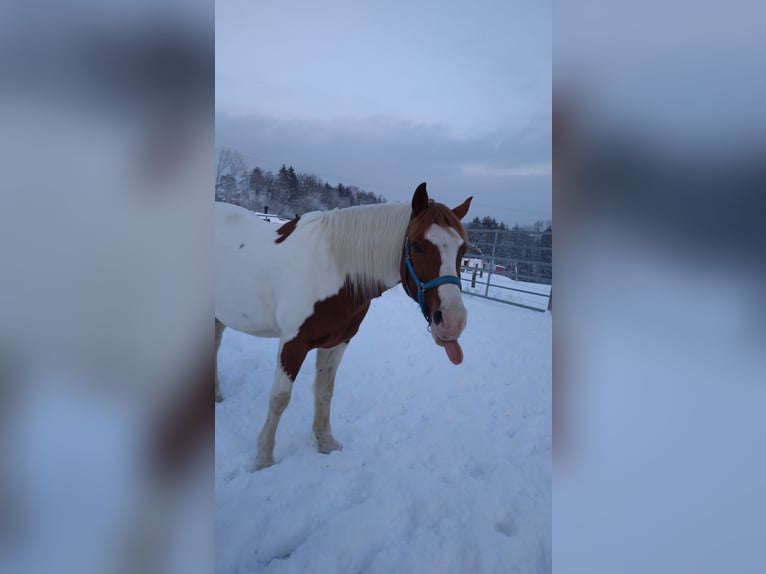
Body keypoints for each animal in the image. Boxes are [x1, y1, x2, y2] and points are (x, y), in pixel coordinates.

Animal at [213, 182, 472, 470]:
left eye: (463, 249)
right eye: (416, 246)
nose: (453, 320)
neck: (333, 268)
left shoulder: (336, 343)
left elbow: (324, 392)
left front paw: (326, 443)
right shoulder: (292, 343)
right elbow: (280, 399)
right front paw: (264, 459)